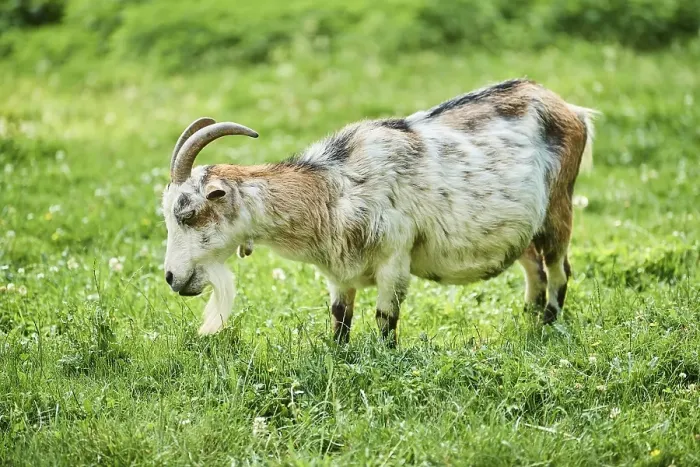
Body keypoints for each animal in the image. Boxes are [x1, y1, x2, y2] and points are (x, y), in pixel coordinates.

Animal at [161, 78, 597, 345]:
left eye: (189, 213)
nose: (171, 277)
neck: (332, 189)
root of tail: (571, 110)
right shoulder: (339, 273)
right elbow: (339, 319)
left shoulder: (394, 261)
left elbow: (386, 320)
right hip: (520, 229)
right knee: (534, 266)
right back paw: (528, 316)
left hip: (558, 209)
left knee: (558, 267)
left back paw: (548, 323)